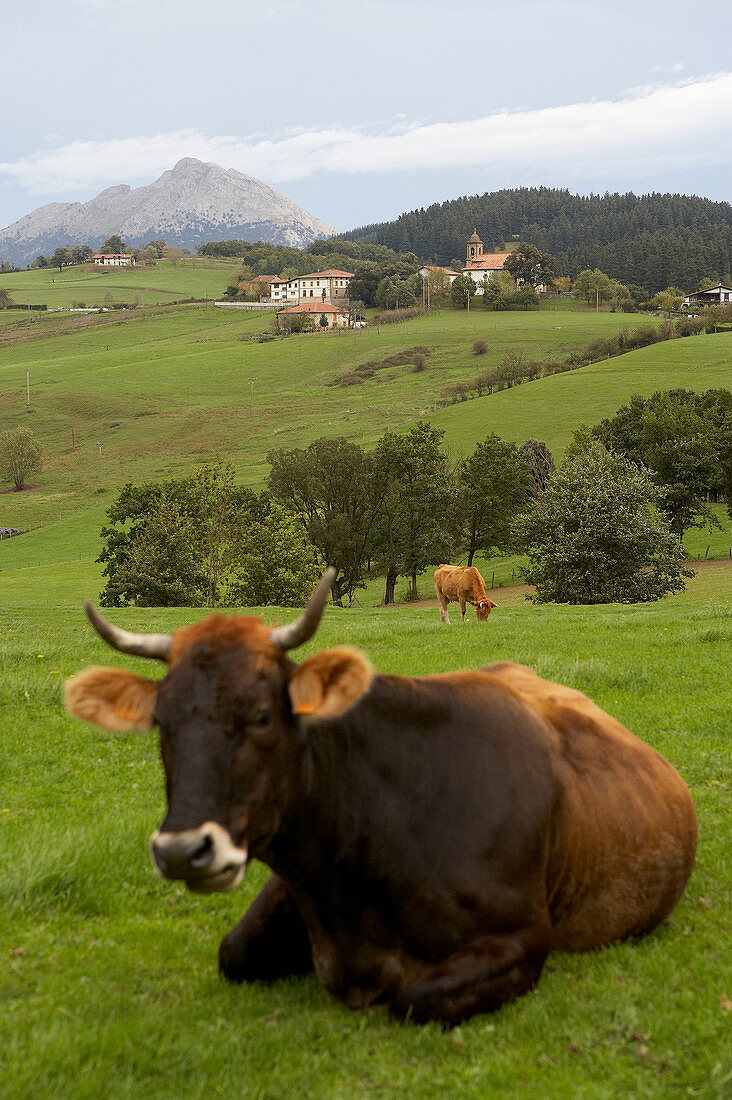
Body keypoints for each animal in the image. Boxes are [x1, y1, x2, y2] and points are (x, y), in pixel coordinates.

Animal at [65, 572, 695, 1025]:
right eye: (161, 724)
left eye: (263, 715)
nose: (181, 851)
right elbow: (233, 953)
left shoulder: (523, 937)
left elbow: (415, 997)